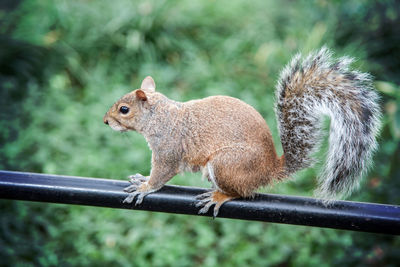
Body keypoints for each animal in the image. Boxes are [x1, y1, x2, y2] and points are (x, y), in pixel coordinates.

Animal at [103, 48, 382, 219]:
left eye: (124, 109)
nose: (106, 121)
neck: (160, 116)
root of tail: (270, 168)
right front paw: (141, 179)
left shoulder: (168, 150)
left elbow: (161, 174)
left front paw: (145, 186)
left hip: (226, 164)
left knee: (240, 192)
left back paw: (218, 196)